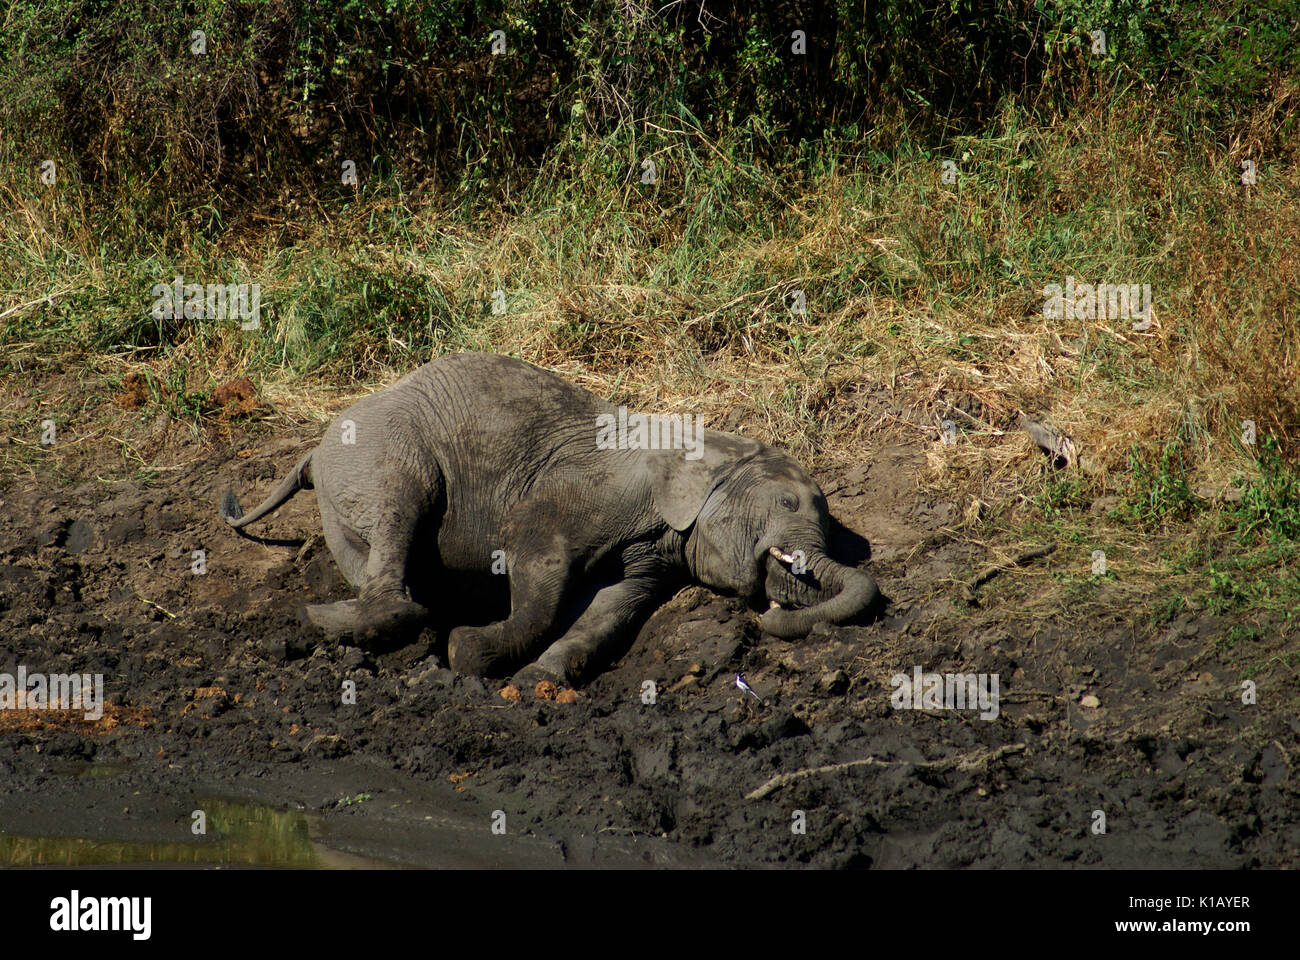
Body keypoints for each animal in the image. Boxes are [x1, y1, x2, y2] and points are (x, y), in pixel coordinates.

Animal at [219, 352, 878, 684]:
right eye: (789, 504)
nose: (767, 614)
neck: (710, 448)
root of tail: (311, 450)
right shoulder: (584, 490)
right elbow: (537, 559)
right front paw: (469, 651)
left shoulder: (655, 550)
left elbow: (614, 605)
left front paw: (546, 677)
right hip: (377, 448)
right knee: (401, 507)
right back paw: (343, 620)